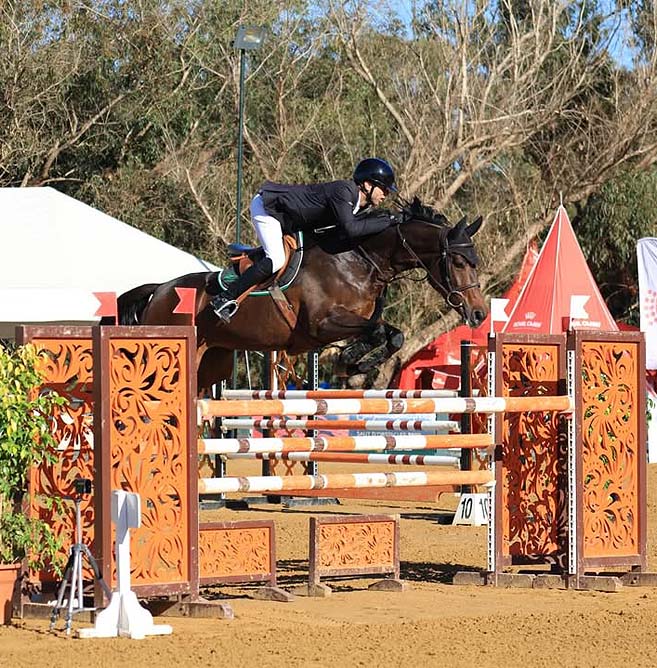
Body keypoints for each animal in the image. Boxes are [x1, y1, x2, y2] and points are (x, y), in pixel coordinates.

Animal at [108, 198, 488, 391]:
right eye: (457, 261)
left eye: (475, 261)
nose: (480, 314)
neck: (358, 259)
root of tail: (159, 289)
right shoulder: (321, 326)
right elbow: (380, 331)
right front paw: (351, 363)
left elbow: (393, 334)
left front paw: (355, 364)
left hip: (211, 362)